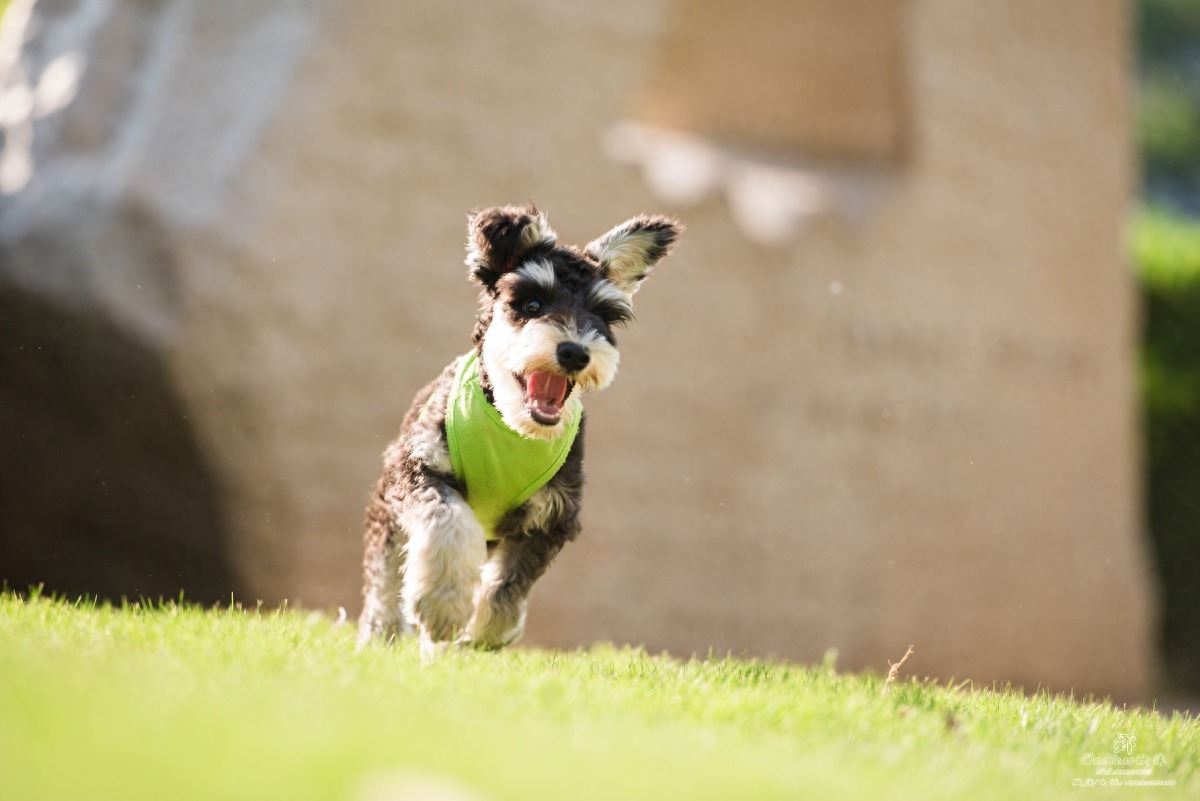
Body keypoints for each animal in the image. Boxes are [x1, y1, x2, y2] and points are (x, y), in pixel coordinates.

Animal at [355, 201, 681, 657]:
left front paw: (484, 634)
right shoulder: (417, 469)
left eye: (602, 315)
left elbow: (508, 586)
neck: (514, 427)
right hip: (387, 512)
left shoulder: (552, 517)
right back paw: (381, 634)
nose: (575, 352)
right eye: (530, 304)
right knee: (383, 579)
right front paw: (444, 603)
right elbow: (447, 524)